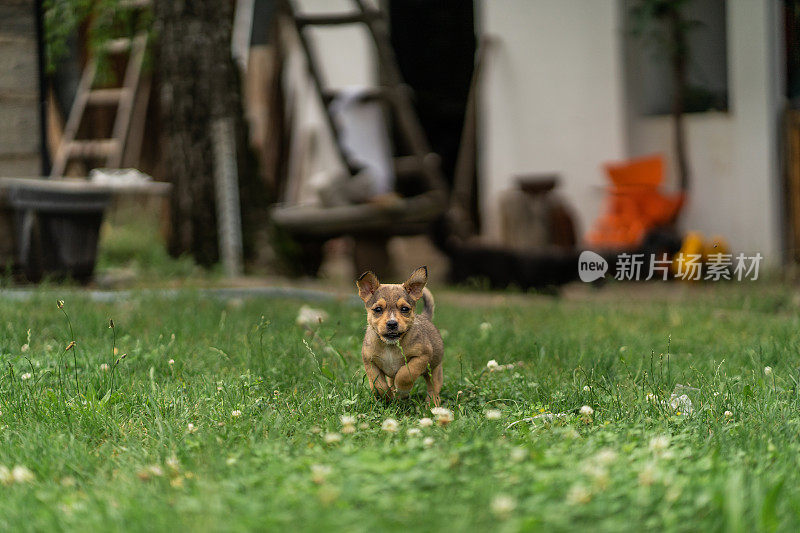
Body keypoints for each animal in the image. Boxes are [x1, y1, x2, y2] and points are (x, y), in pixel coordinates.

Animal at [356, 266, 444, 404]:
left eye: (404, 309)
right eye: (378, 309)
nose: (392, 324)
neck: (390, 346)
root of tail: (425, 317)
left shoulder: (421, 357)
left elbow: (405, 374)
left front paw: (402, 391)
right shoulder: (370, 362)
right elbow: (378, 384)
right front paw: (386, 397)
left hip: (434, 370)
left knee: (433, 389)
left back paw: (431, 404)